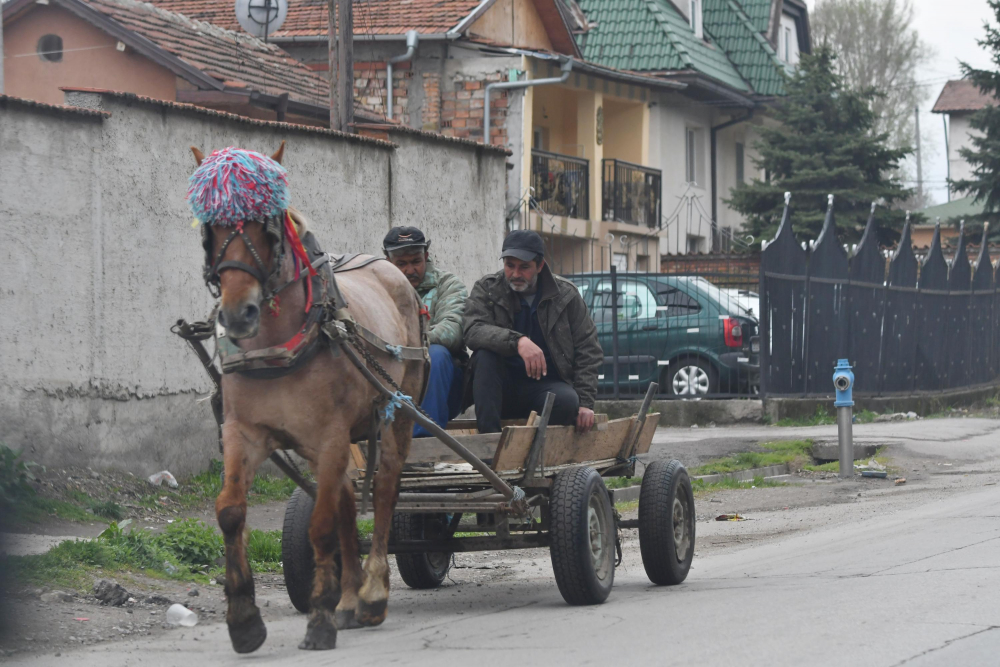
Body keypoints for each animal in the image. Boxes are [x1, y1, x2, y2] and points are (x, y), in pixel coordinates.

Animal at [188, 145, 426, 652]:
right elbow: (230, 511)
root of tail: (392, 270)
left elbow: (320, 525)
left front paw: (318, 618)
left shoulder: (330, 436)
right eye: (211, 227)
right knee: (344, 501)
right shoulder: (244, 434)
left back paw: (372, 593)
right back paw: (349, 598)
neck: (279, 343)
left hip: (396, 413)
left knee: (384, 489)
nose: (238, 315)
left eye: (267, 226)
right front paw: (243, 618)